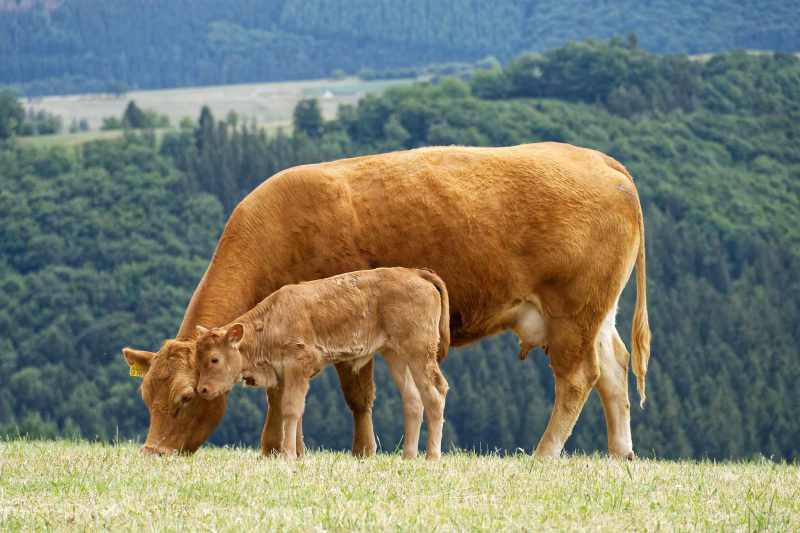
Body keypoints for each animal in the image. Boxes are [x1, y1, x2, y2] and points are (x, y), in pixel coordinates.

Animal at [193, 267, 450, 460]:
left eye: (214, 359)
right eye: (197, 358)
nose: (202, 389)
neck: (272, 321)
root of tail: (417, 273)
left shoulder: (298, 367)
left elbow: (291, 409)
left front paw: (288, 455)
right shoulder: (285, 375)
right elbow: (293, 412)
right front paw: (297, 454)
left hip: (419, 352)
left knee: (435, 392)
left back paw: (431, 457)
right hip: (395, 354)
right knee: (413, 400)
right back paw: (408, 456)